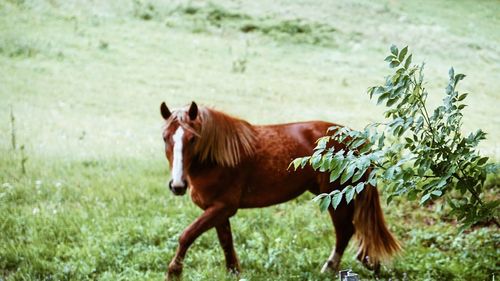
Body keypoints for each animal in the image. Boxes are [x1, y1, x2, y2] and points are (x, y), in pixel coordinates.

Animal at [158, 100, 400, 278]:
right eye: (165, 138)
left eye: (192, 139)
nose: (177, 185)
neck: (217, 157)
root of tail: (353, 138)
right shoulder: (217, 209)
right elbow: (226, 241)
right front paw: (234, 272)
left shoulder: (223, 207)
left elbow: (187, 235)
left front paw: (174, 271)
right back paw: (369, 262)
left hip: (337, 198)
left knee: (345, 231)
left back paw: (330, 267)